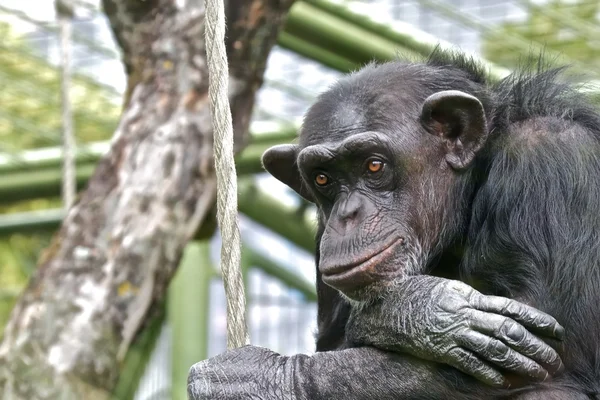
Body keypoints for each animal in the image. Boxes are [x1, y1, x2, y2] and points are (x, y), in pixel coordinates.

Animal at [188, 50, 600, 400]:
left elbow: (545, 351)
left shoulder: (551, 160)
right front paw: (427, 315)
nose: (348, 214)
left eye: (374, 165)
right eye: (322, 178)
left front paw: (253, 379)